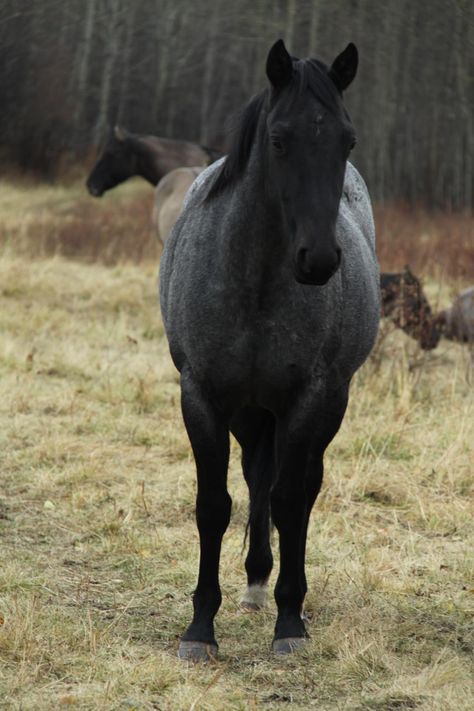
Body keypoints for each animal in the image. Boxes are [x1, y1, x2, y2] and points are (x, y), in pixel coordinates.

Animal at [161, 40, 380, 660]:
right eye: (279, 139)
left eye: (347, 139)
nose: (319, 259)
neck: (254, 279)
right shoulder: (204, 396)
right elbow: (214, 505)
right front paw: (199, 630)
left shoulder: (308, 399)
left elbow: (290, 500)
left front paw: (289, 624)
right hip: (250, 410)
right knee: (256, 477)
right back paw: (255, 581)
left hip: (319, 406)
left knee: (298, 489)